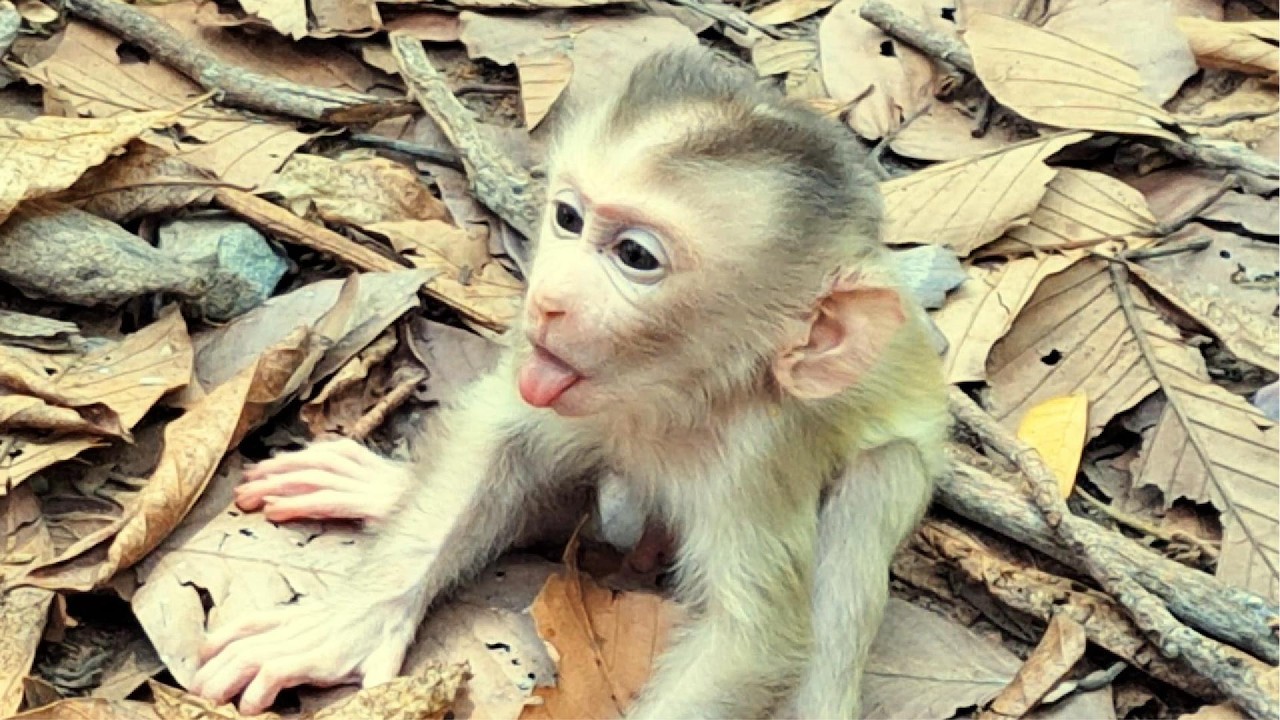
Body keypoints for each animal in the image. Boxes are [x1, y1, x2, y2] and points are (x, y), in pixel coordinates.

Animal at [189, 46, 949, 718]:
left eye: (635, 256)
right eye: (568, 219)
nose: (549, 300)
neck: (673, 396)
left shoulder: (759, 457)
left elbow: (750, 641)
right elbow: (500, 435)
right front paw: (348, 623)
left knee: (876, 485)